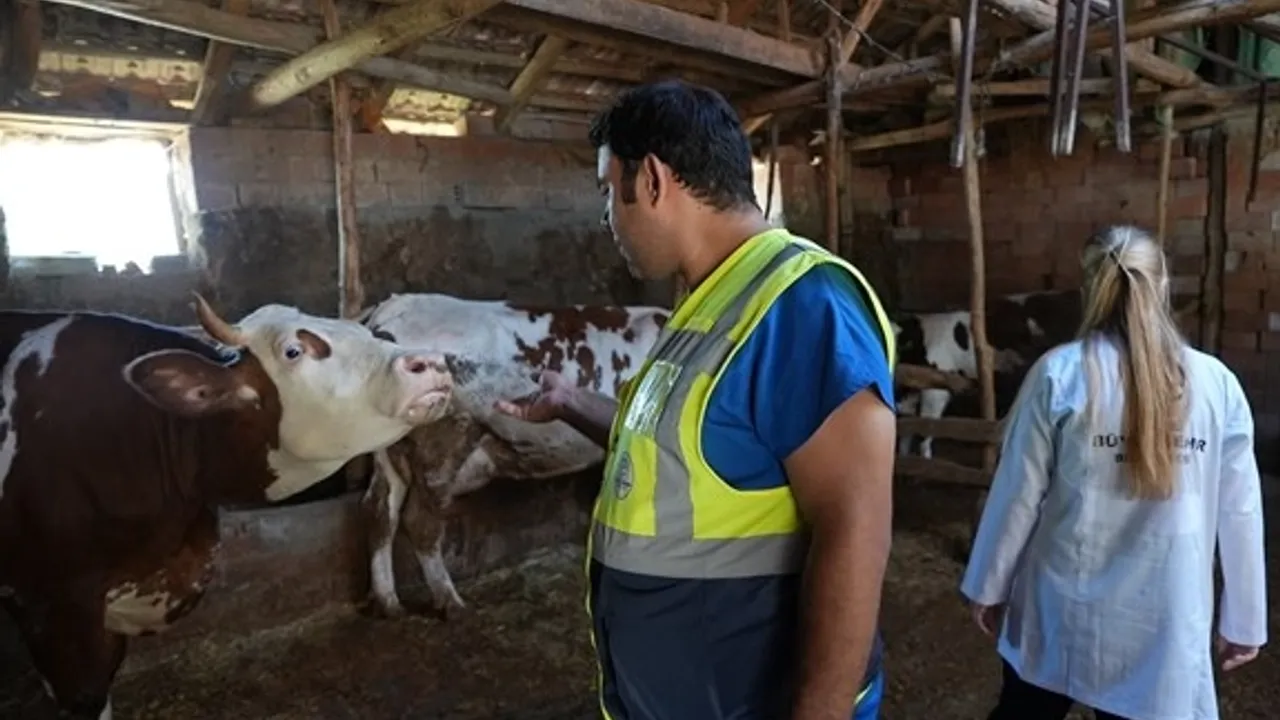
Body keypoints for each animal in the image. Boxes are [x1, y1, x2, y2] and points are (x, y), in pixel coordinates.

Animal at [356, 293, 667, 619]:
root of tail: (392, 306)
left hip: (388, 451)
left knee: (378, 512)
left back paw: (388, 602)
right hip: (444, 443)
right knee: (420, 521)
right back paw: (449, 601)